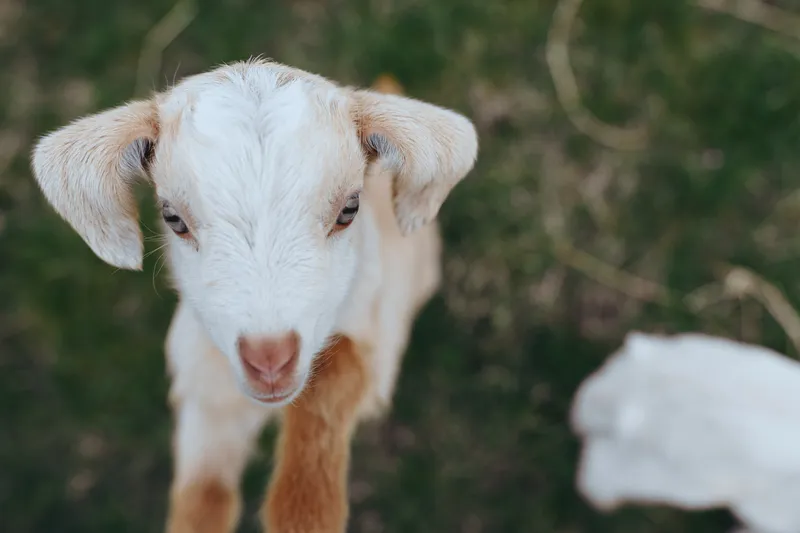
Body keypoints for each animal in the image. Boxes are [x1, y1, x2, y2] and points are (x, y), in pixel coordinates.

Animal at [30, 59, 478, 533]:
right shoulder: (204, 385)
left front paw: (305, 509)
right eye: (173, 217)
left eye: (349, 209)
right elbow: (205, 496)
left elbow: (334, 383)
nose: (269, 360)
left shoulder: (372, 334)